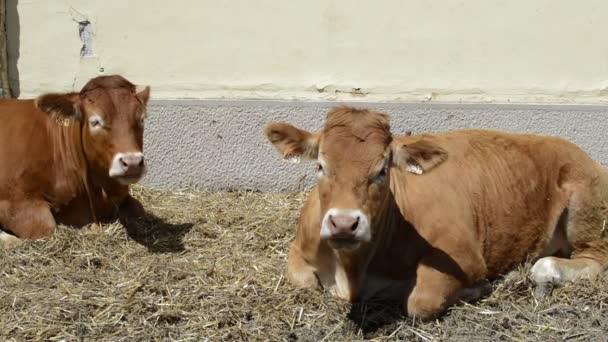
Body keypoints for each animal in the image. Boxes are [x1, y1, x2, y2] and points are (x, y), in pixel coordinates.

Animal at [264, 105, 608, 320]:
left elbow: (420, 302)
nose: (344, 223)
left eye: (382, 169)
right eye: (321, 166)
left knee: (592, 259)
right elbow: (303, 280)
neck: (352, 272)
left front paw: (479, 287)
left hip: (586, 207)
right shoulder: (299, 247)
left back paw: (540, 271)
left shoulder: (465, 255)